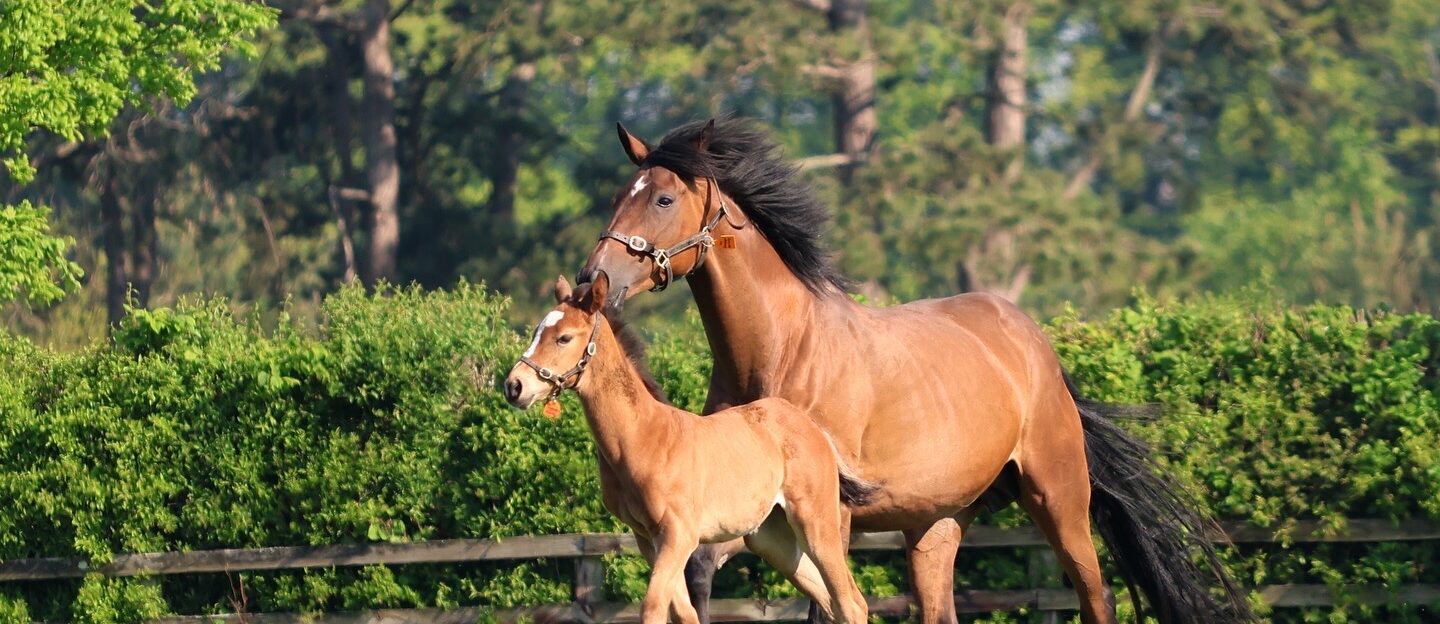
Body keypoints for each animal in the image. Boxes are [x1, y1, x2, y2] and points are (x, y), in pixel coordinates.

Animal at [504, 272, 878, 624]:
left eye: (564, 337)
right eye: (536, 331)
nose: (514, 386)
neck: (643, 437)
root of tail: (812, 427)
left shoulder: (678, 535)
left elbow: (653, 607)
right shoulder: (648, 539)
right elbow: (684, 613)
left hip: (815, 523)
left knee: (850, 602)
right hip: (772, 538)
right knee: (834, 602)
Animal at [573, 118, 1256, 624]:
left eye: (663, 198)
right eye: (618, 197)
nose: (593, 280)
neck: (782, 351)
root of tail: (1036, 348)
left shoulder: (828, 512)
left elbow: (829, 604)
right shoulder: (742, 506)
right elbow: (698, 572)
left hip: (1057, 497)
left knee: (1096, 594)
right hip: (938, 523)